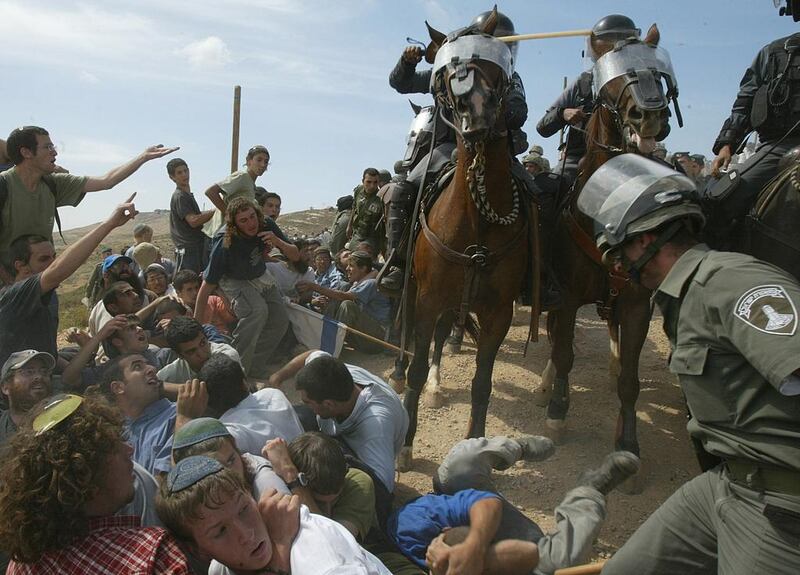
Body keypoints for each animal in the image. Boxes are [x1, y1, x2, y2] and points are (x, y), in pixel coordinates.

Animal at [396, 11, 532, 470]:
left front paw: (477, 447)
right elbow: (418, 367)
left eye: (492, 63)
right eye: (443, 71)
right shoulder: (427, 299)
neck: (476, 224)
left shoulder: (496, 314)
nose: (477, 112)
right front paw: (405, 445)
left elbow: (482, 382)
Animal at [536, 25, 676, 460]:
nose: (649, 116)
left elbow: (630, 379)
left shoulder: (635, 304)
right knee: (555, 342)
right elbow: (564, 353)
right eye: (608, 77)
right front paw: (557, 411)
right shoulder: (565, 298)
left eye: (657, 70)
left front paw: (628, 442)